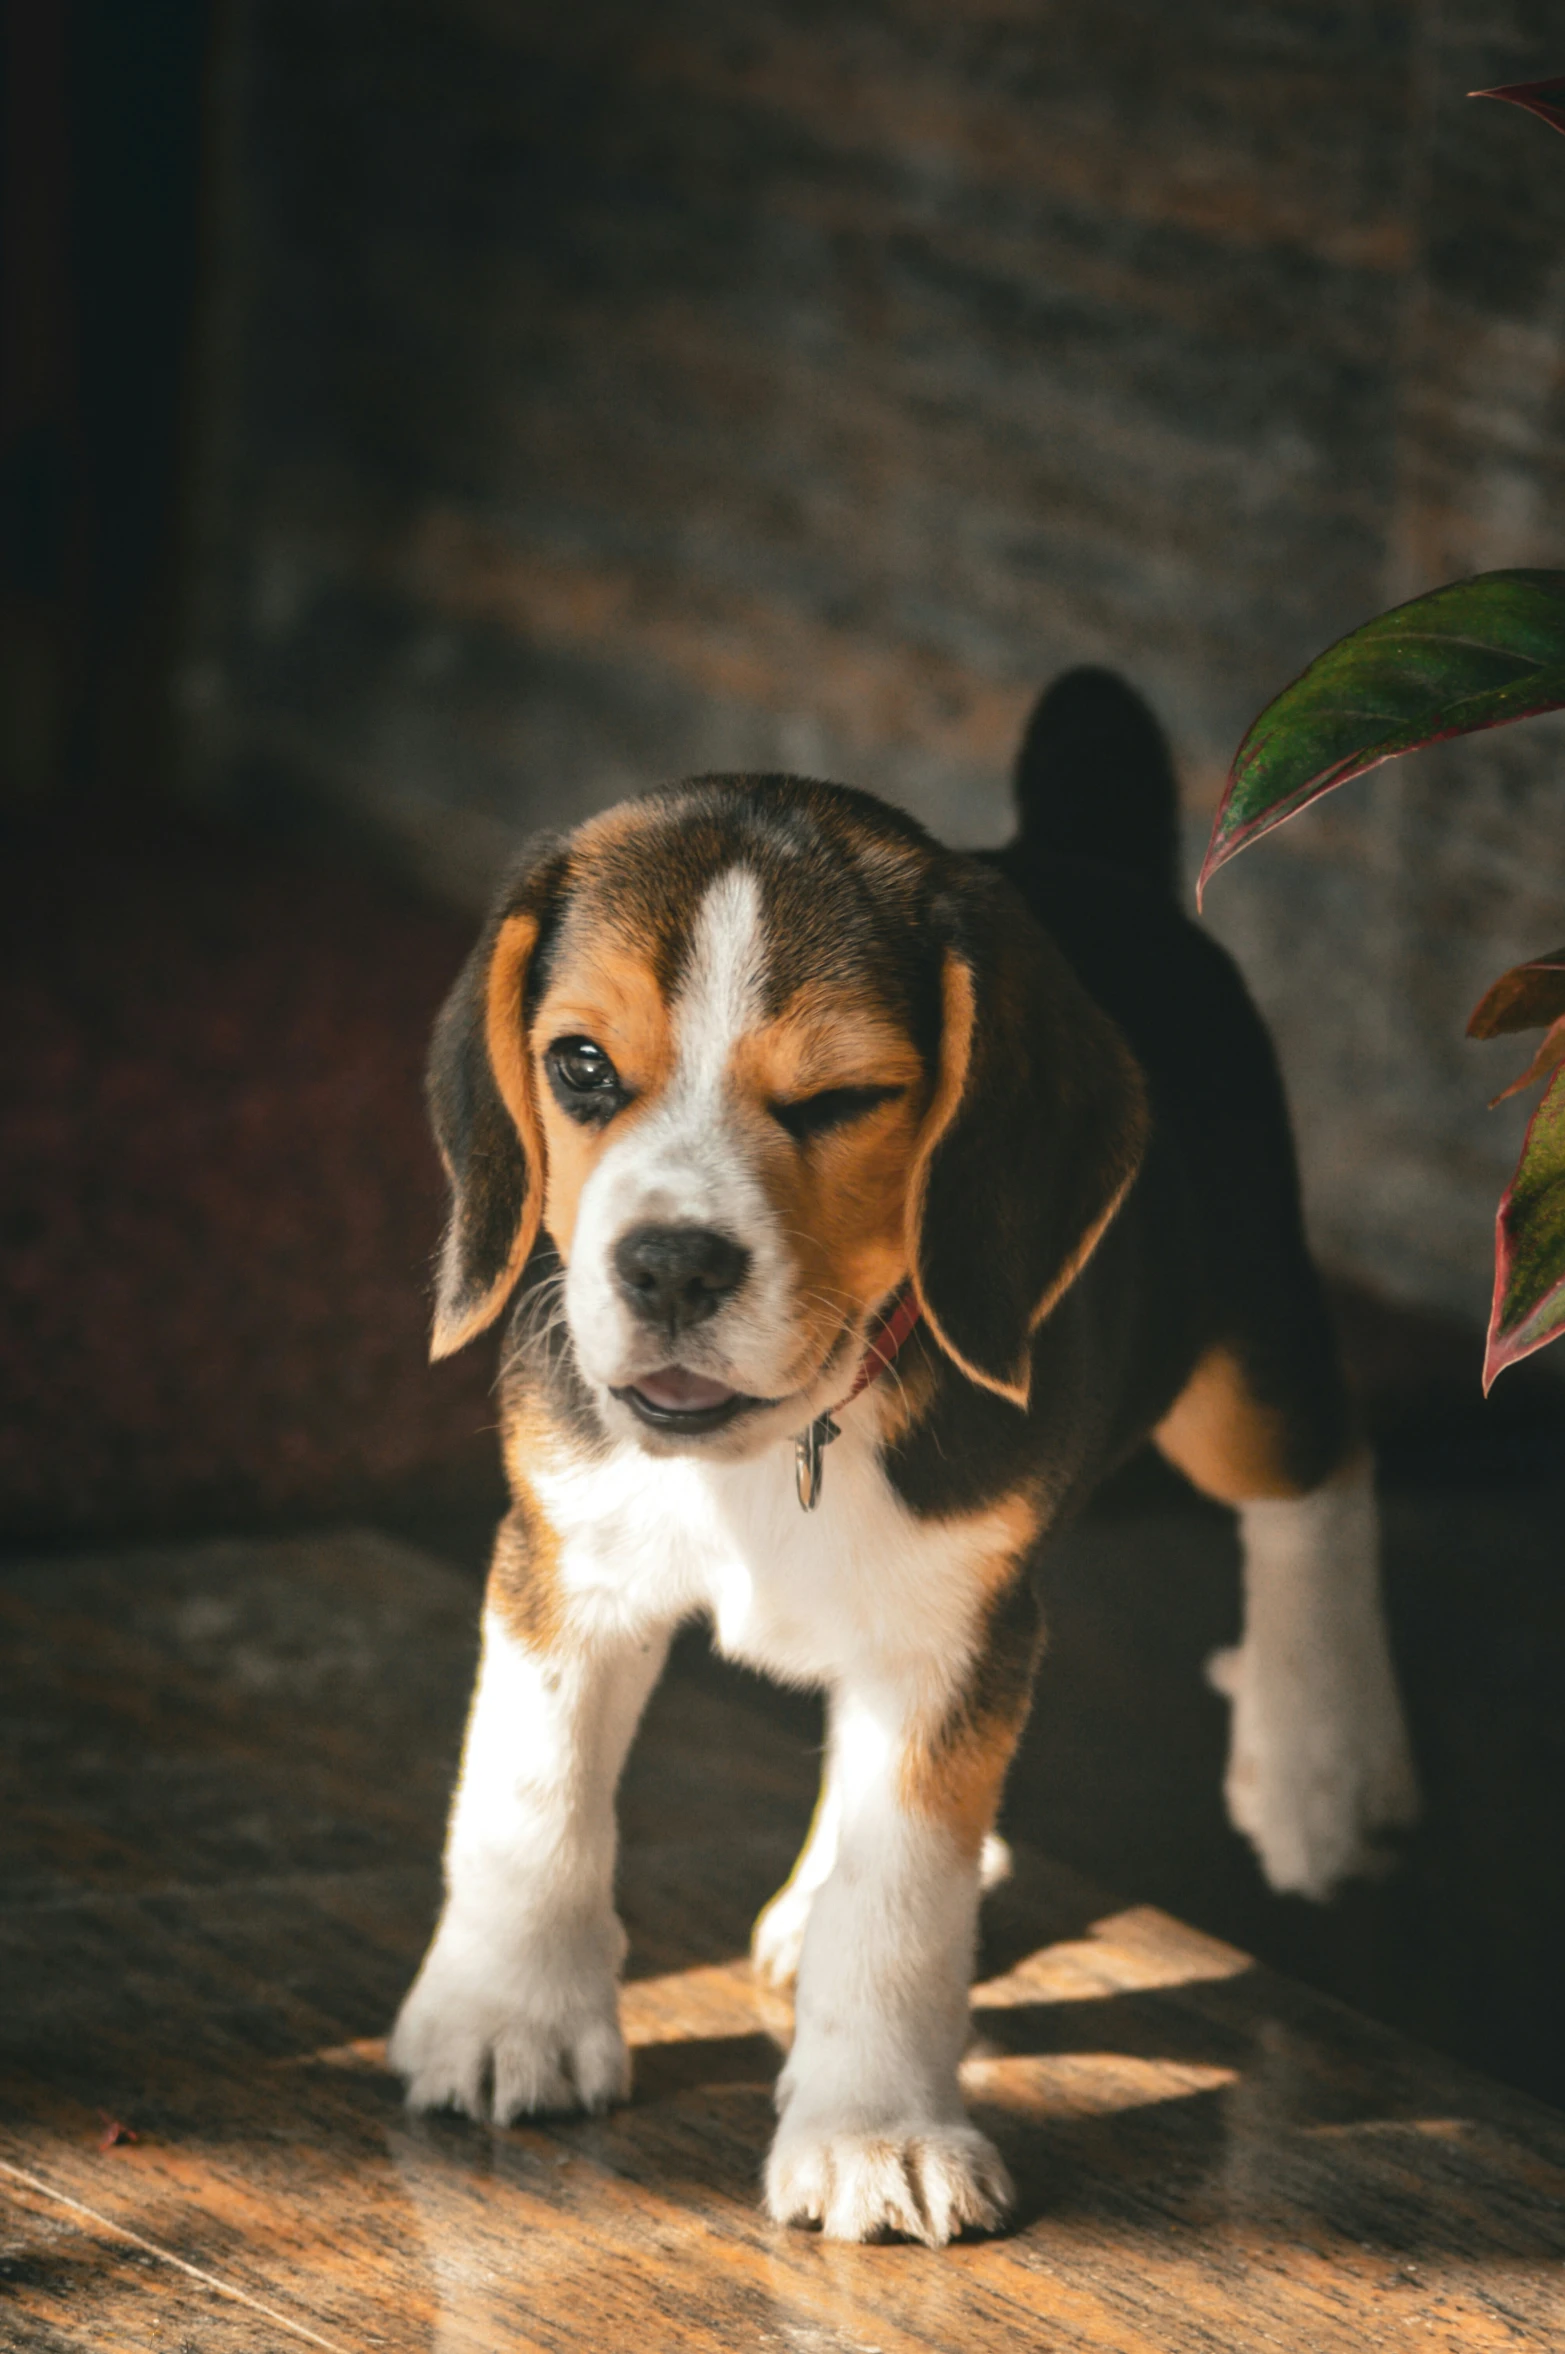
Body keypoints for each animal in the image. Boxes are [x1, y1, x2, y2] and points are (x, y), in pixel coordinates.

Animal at [390, 677, 1412, 2241]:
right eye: (580, 1066)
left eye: (840, 1099)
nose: (670, 1262)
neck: (796, 1428)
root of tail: (1081, 852)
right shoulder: (566, 1556)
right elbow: (530, 1792)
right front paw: (509, 2015)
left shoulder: (957, 1623)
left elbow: (903, 1900)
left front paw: (877, 2130)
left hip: (1234, 1344)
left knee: (1317, 1473)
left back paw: (1318, 1765)